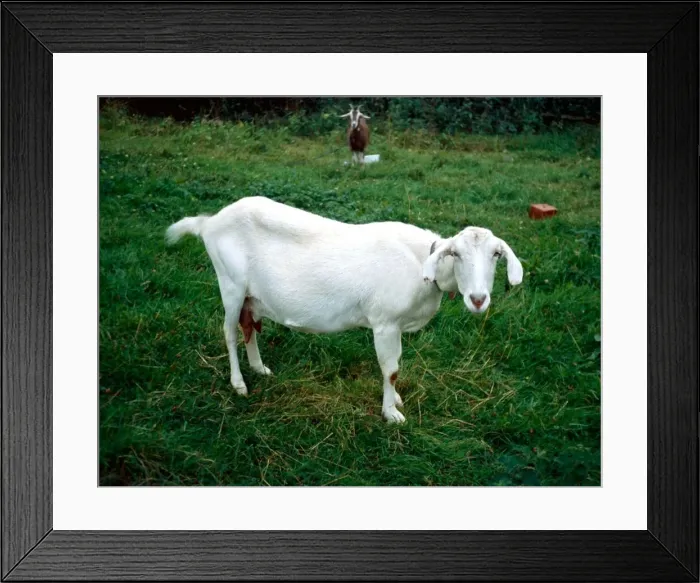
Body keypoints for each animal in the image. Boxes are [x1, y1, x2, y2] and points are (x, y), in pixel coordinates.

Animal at [165, 196, 524, 423]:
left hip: (251, 295)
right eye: (456, 254)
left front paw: (394, 401)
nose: (478, 299)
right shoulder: (385, 323)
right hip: (230, 282)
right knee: (228, 332)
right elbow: (391, 368)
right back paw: (239, 383)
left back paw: (259, 368)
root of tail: (209, 222)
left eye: (496, 255)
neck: (421, 264)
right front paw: (391, 414)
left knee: (248, 326)